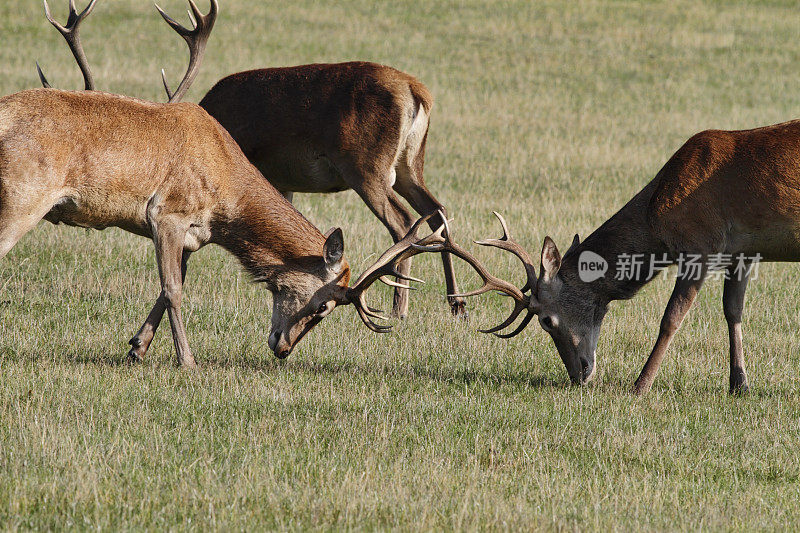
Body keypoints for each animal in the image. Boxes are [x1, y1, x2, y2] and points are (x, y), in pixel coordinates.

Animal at [9, 0, 444, 366]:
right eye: (323, 305)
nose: (283, 349)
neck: (226, 206)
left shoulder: (191, 231)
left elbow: (169, 286)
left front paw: (137, 347)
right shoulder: (167, 215)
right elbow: (172, 289)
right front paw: (178, 358)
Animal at [428, 121, 800, 394]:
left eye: (546, 320)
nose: (578, 374)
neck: (655, 217)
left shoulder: (701, 244)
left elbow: (671, 318)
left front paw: (640, 385)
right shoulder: (742, 252)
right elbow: (733, 311)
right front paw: (739, 385)